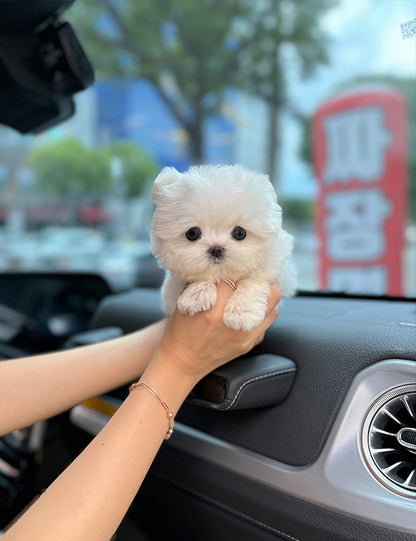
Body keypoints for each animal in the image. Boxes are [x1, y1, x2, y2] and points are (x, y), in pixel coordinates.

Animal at [150, 162, 296, 332]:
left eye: (239, 232)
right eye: (192, 233)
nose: (216, 249)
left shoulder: (274, 261)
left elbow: (254, 278)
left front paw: (241, 313)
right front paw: (196, 295)